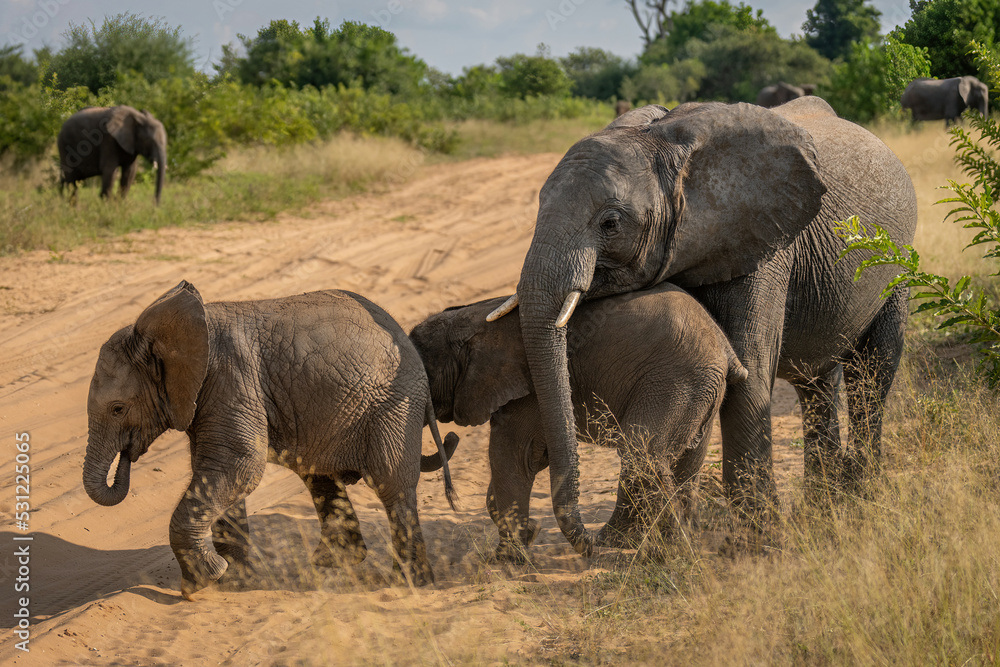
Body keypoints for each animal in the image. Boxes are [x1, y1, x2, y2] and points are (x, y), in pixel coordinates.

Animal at [84, 282, 458, 600]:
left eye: (118, 409)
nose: (127, 456)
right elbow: (219, 472)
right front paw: (232, 581)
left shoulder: (230, 380)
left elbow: (239, 465)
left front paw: (200, 584)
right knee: (318, 475)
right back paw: (333, 563)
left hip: (392, 407)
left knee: (391, 485)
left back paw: (409, 582)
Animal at [410, 284, 748, 560]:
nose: (450, 438)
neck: (470, 317)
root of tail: (726, 351)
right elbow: (529, 458)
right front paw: (529, 533)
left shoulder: (526, 391)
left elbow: (515, 456)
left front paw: (507, 559)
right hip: (702, 391)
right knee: (686, 462)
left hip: (675, 383)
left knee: (642, 455)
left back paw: (653, 551)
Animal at [488, 98, 916, 560]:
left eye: (610, 224)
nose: (592, 543)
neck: (668, 151)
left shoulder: (763, 245)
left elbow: (749, 372)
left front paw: (755, 545)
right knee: (815, 383)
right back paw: (823, 509)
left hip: (896, 265)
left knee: (871, 374)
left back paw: (860, 498)